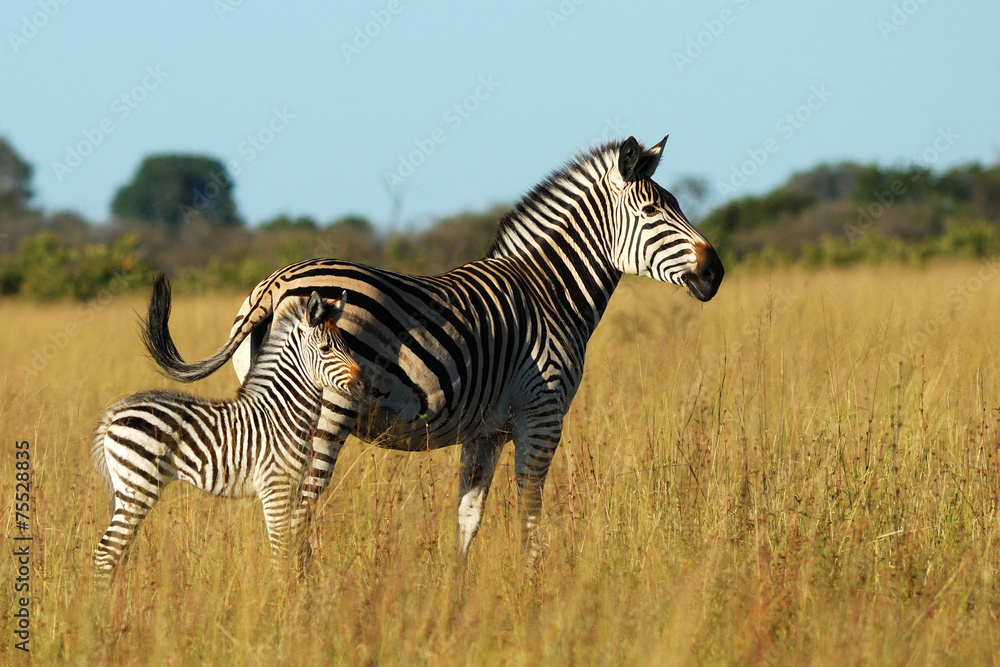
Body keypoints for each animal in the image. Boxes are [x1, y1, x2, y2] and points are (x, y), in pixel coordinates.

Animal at [91, 275, 363, 577]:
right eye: (326, 349)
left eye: (347, 346)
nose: (363, 384)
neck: (283, 411)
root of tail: (115, 413)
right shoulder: (275, 486)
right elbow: (280, 551)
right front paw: (281, 589)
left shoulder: (291, 486)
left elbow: (289, 545)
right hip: (138, 483)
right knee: (106, 551)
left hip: (130, 487)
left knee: (116, 550)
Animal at [147, 136, 724, 564]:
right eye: (652, 211)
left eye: (676, 206)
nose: (715, 272)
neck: (548, 291)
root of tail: (274, 284)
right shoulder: (542, 415)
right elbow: (530, 512)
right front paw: (534, 593)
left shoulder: (486, 431)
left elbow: (468, 519)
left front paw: (456, 604)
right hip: (324, 410)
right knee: (294, 514)